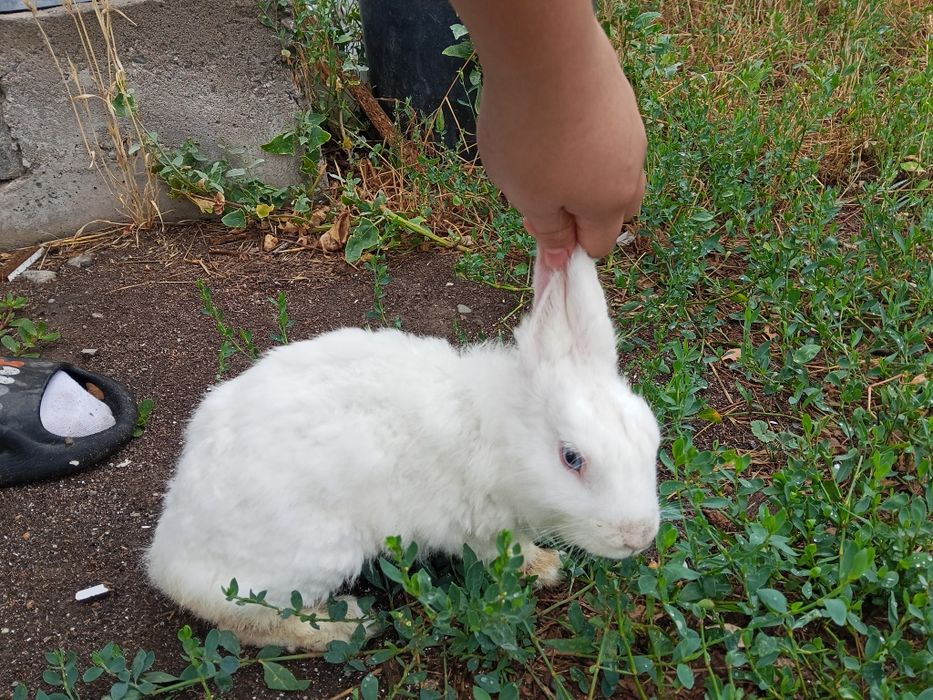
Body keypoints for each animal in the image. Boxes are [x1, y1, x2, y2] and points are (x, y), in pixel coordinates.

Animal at [145, 246, 661, 651]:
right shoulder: (479, 524)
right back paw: (346, 625)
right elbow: (504, 550)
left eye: (651, 435)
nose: (638, 537)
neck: (499, 434)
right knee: (250, 621)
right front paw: (545, 567)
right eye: (571, 458)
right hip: (309, 559)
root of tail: (167, 564)